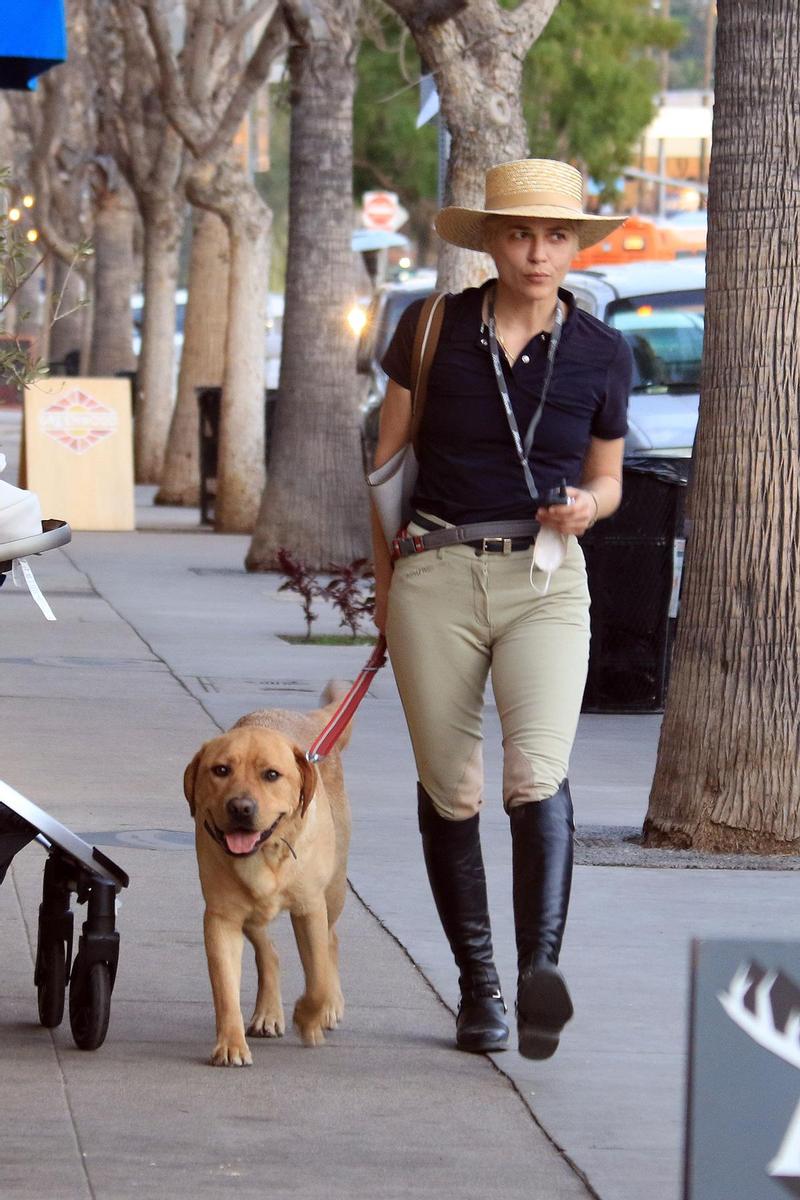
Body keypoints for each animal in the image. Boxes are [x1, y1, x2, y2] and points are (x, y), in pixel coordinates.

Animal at [188, 686, 352, 1070]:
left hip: (334, 890)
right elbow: (225, 987)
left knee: (331, 941)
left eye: (272, 775)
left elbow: (317, 976)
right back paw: (267, 1012)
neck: (264, 854)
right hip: (250, 911)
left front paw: (308, 1017)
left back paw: (330, 1005)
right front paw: (231, 1044)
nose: (241, 807)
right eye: (221, 770)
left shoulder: (310, 908)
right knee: (269, 952)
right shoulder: (221, 916)